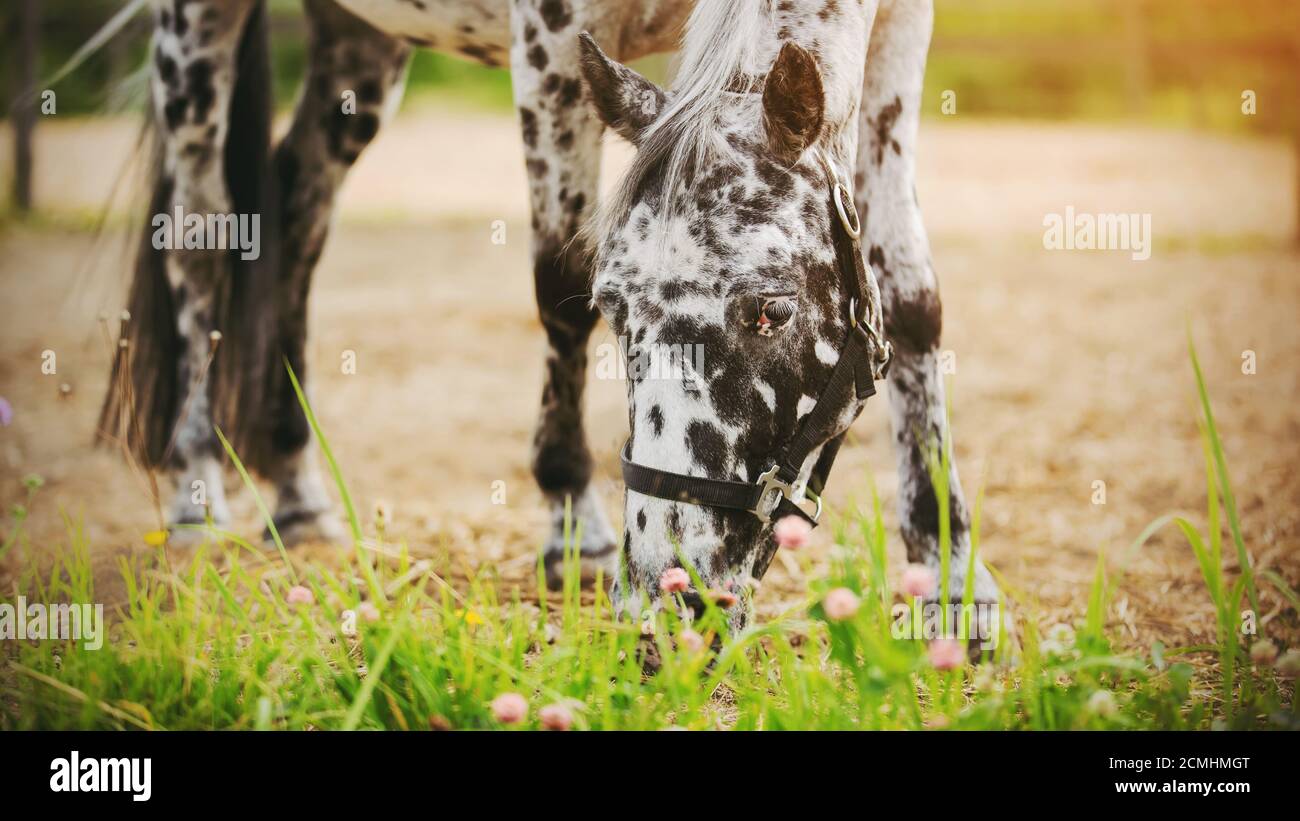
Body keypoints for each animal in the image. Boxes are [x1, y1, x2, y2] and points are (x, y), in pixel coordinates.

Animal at [98, 0, 1000, 628]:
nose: (670, 591)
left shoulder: (897, 35)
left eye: (773, 310)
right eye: (615, 309)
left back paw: (296, 487)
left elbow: (910, 294)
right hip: (195, 35)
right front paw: (574, 525)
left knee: (296, 211)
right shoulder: (552, 37)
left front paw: (950, 575)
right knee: (201, 235)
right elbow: (558, 280)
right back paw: (195, 490)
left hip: (357, 43)